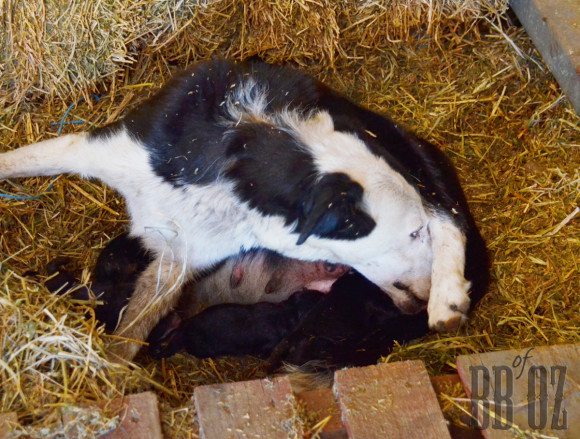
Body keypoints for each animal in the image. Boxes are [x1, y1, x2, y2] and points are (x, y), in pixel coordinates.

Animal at [0, 58, 488, 360]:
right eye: (412, 234)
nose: (423, 296)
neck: (239, 168)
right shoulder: (97, 149)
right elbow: (21, 158)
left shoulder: (177, 262)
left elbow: (130, 335)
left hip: (408, 156)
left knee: (450, 215)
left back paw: (447, 299)